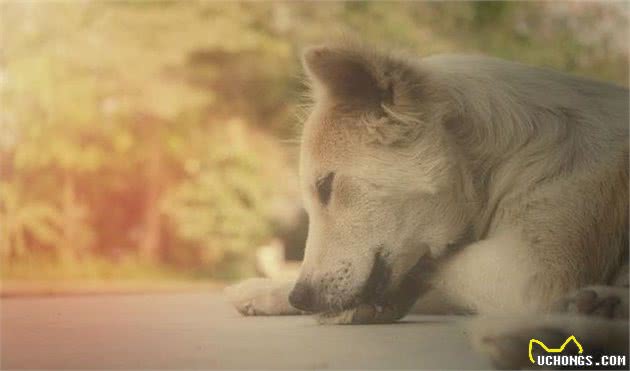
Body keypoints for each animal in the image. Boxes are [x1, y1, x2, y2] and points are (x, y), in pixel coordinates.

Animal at [226, 41, 628, 370]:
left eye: (326, 187)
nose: (301, 297)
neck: (505, 163)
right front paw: (264, 290)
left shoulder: (532, 272)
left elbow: (436, 267)